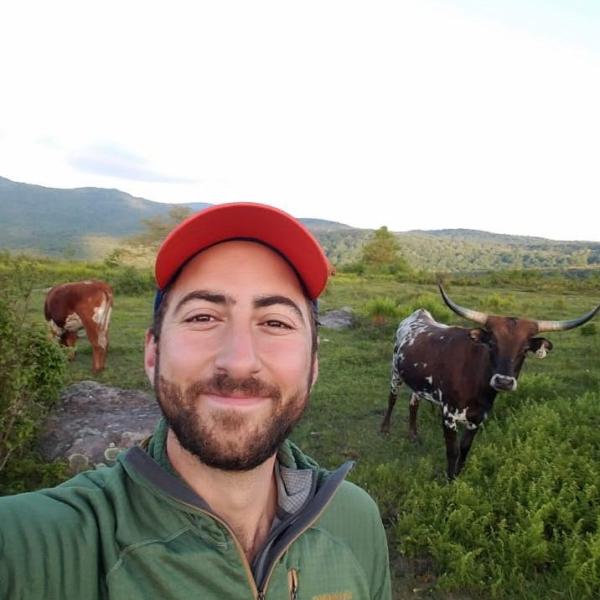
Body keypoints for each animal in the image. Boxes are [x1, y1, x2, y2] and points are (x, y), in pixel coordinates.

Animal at [382, 284, 596, 480]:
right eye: (492, 344)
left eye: (524, 350)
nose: (504, 381)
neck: (475, 383)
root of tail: (419, 313)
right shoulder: (448, 415)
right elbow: (452, 450)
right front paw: (449, 480)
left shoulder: (478, 417)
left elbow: (464, 449)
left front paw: (458, 477)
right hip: (395, 374)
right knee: (392, 399)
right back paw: (385, 429)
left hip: (418, 382)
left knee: (413, 403)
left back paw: (413, 435)